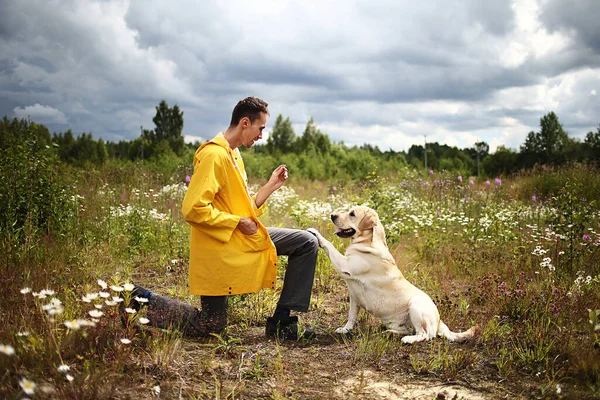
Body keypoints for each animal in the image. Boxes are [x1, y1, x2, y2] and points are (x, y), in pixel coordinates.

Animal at [308, 206, 480, 344]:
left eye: (352, 214)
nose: (332, 215)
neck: (368, 242)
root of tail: (440, 322)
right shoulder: (354, 296)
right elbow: (351, 316)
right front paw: (346, 329)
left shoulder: (344, 265)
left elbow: (329, 244)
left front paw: (315, 232)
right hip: (395, 321)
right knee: (408, 330)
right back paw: (389, 333)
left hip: (416, 305)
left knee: (425, 334)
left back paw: (408, 340)